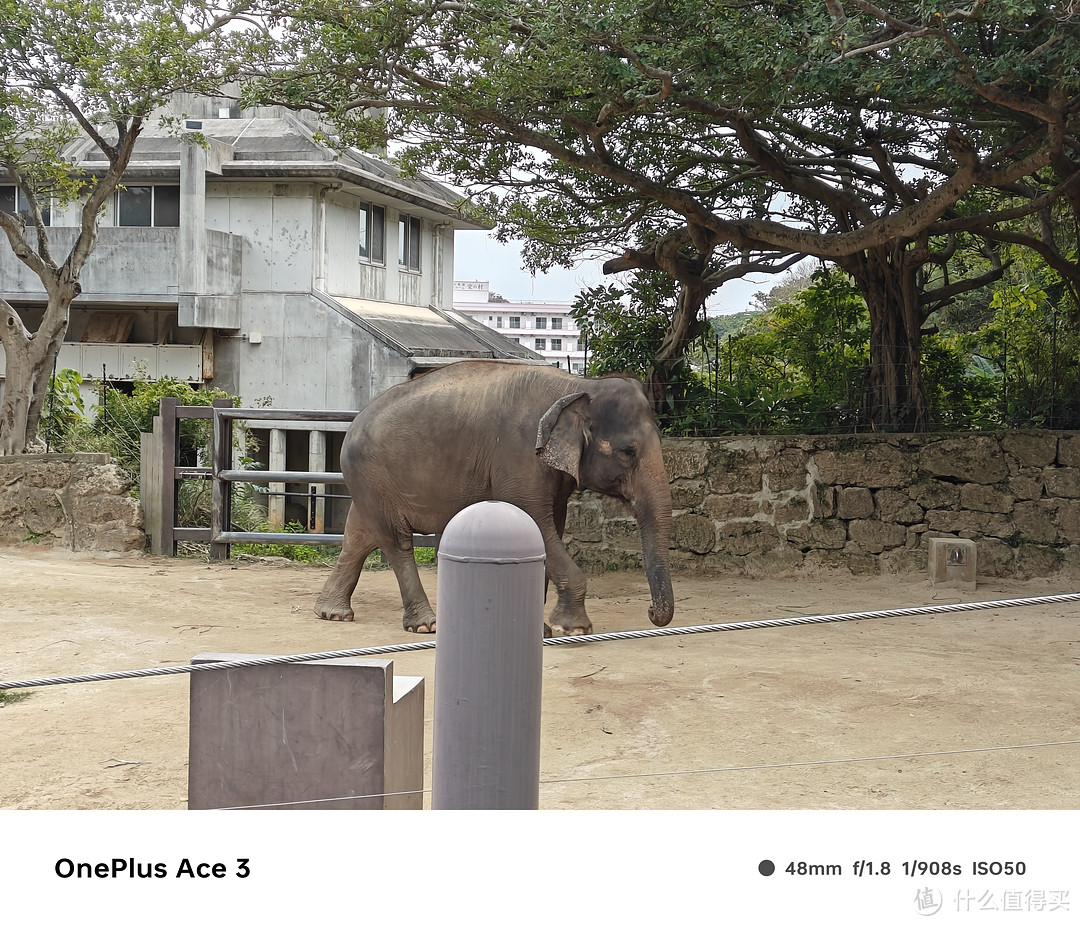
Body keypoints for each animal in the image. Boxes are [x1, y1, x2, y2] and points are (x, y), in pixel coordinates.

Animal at [311, 358, 673, 635]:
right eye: (628, 452)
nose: (651, 613)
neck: (579, 385)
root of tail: (353, 423)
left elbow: (551, 525)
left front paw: (542, 629)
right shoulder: (518, 455)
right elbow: (537, 522)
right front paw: (573, 629)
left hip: (368, 482)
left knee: (359, 535)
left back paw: (332, 614)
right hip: (373, 475)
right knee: (395, 541)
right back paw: (425, 626)